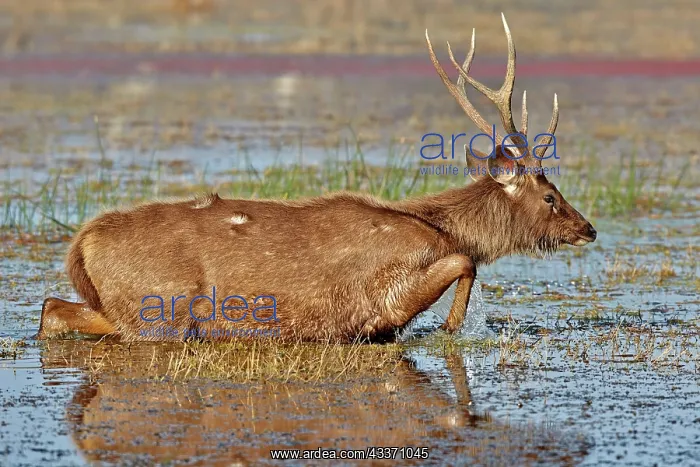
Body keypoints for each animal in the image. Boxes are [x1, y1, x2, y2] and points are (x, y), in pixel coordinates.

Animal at [37, 13, 596, 343]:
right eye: (550, 195)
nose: (588, 228)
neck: (435, 225)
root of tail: (80, 245)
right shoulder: (385, 293)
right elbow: (465, 262)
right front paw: (453, 328)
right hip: (159, 311)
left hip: (119, 308)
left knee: (50, 308)